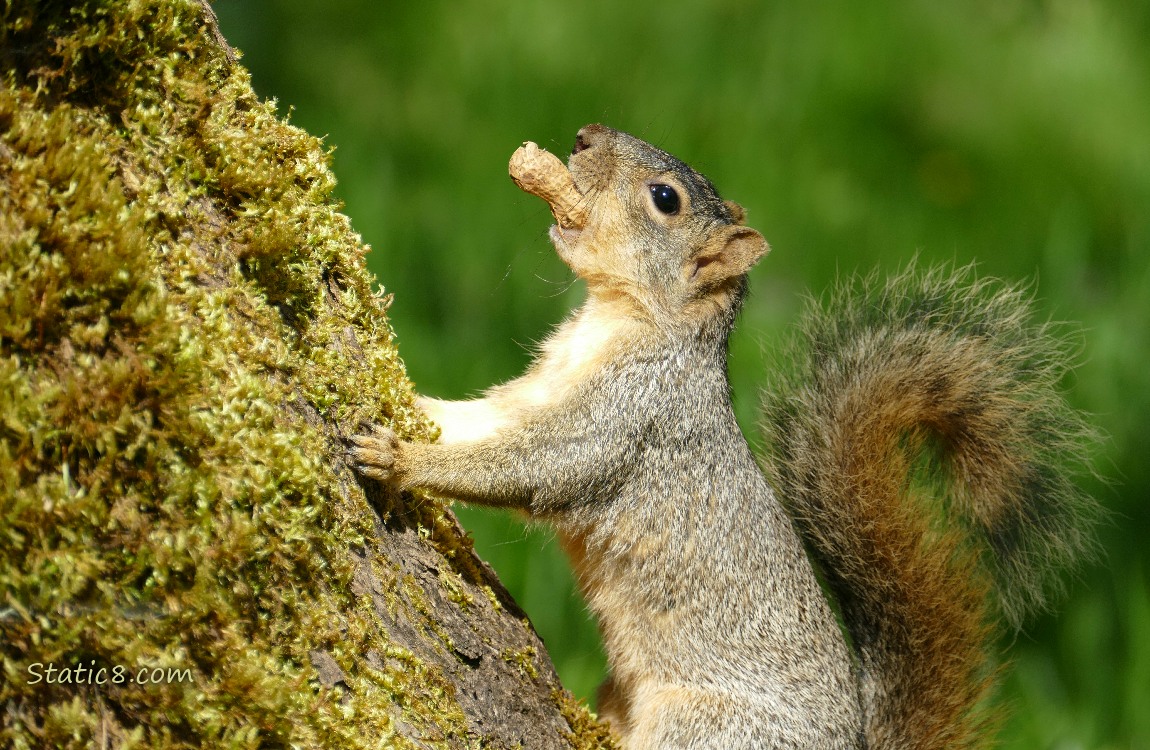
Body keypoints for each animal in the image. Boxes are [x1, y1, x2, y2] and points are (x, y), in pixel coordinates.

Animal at [349, 125, 1094, 745]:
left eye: (665, 199)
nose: (584, 135)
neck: (626, 321)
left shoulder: (629, 418)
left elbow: (533, 468)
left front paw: (399, 460)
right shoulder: (536, 393)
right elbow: (475, 421)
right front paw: (398, 394)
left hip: (706, 726)